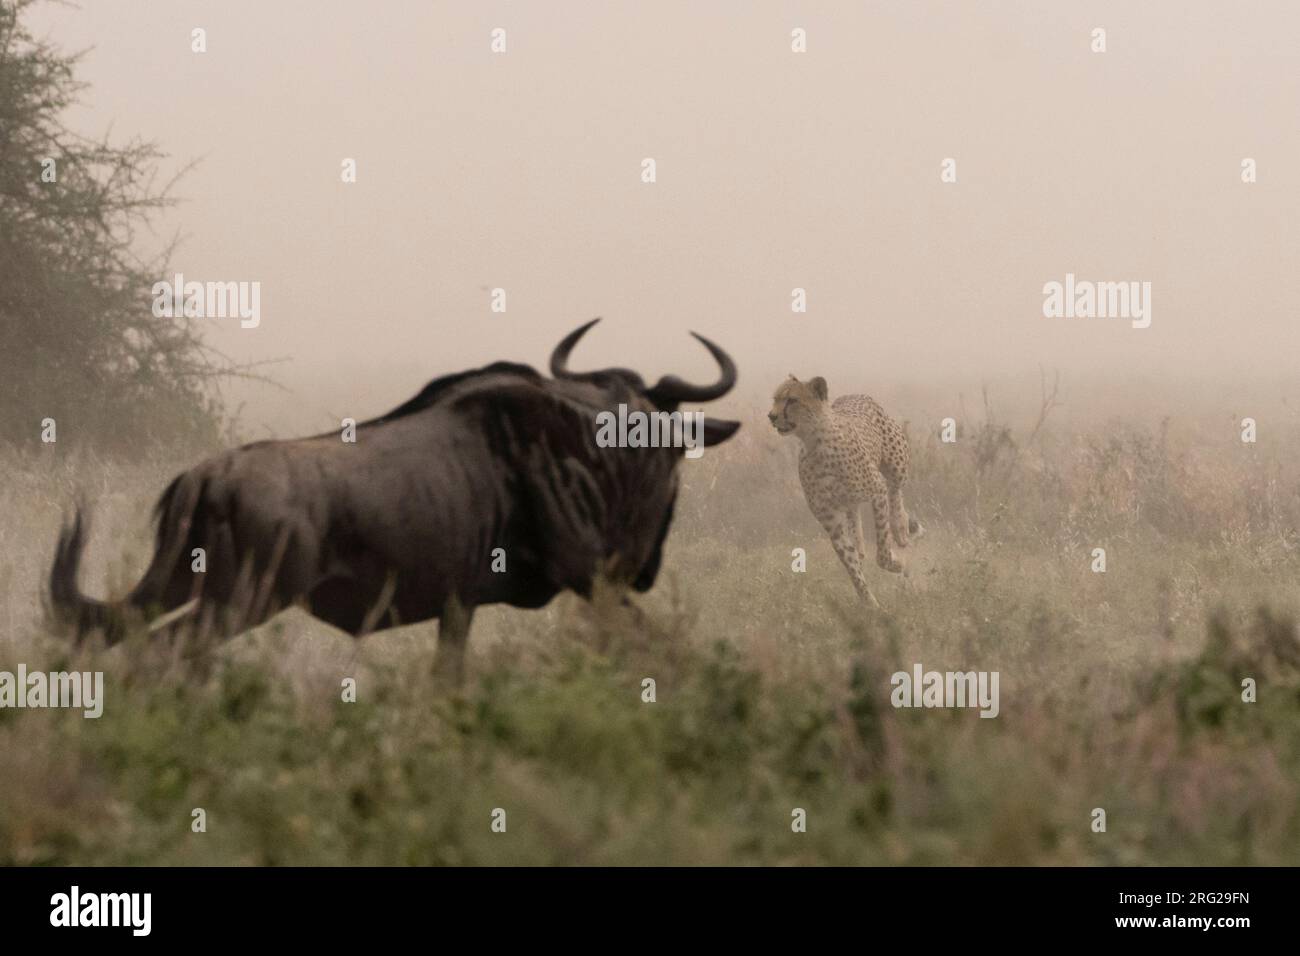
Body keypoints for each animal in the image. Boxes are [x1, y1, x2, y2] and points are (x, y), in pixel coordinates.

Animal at [764, 374, 920, 606]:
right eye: (775, 399)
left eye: (792, 400)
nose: (772, 416)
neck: (815, 442)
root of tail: (854, 394)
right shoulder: (830, 520)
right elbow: (851, 566)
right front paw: (869, 603)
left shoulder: (877, 490)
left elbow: (883, 545)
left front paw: (895, 563)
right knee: (854, 515)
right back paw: (860, 546)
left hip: (896, 464)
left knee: (896, 490)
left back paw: (900, 527)